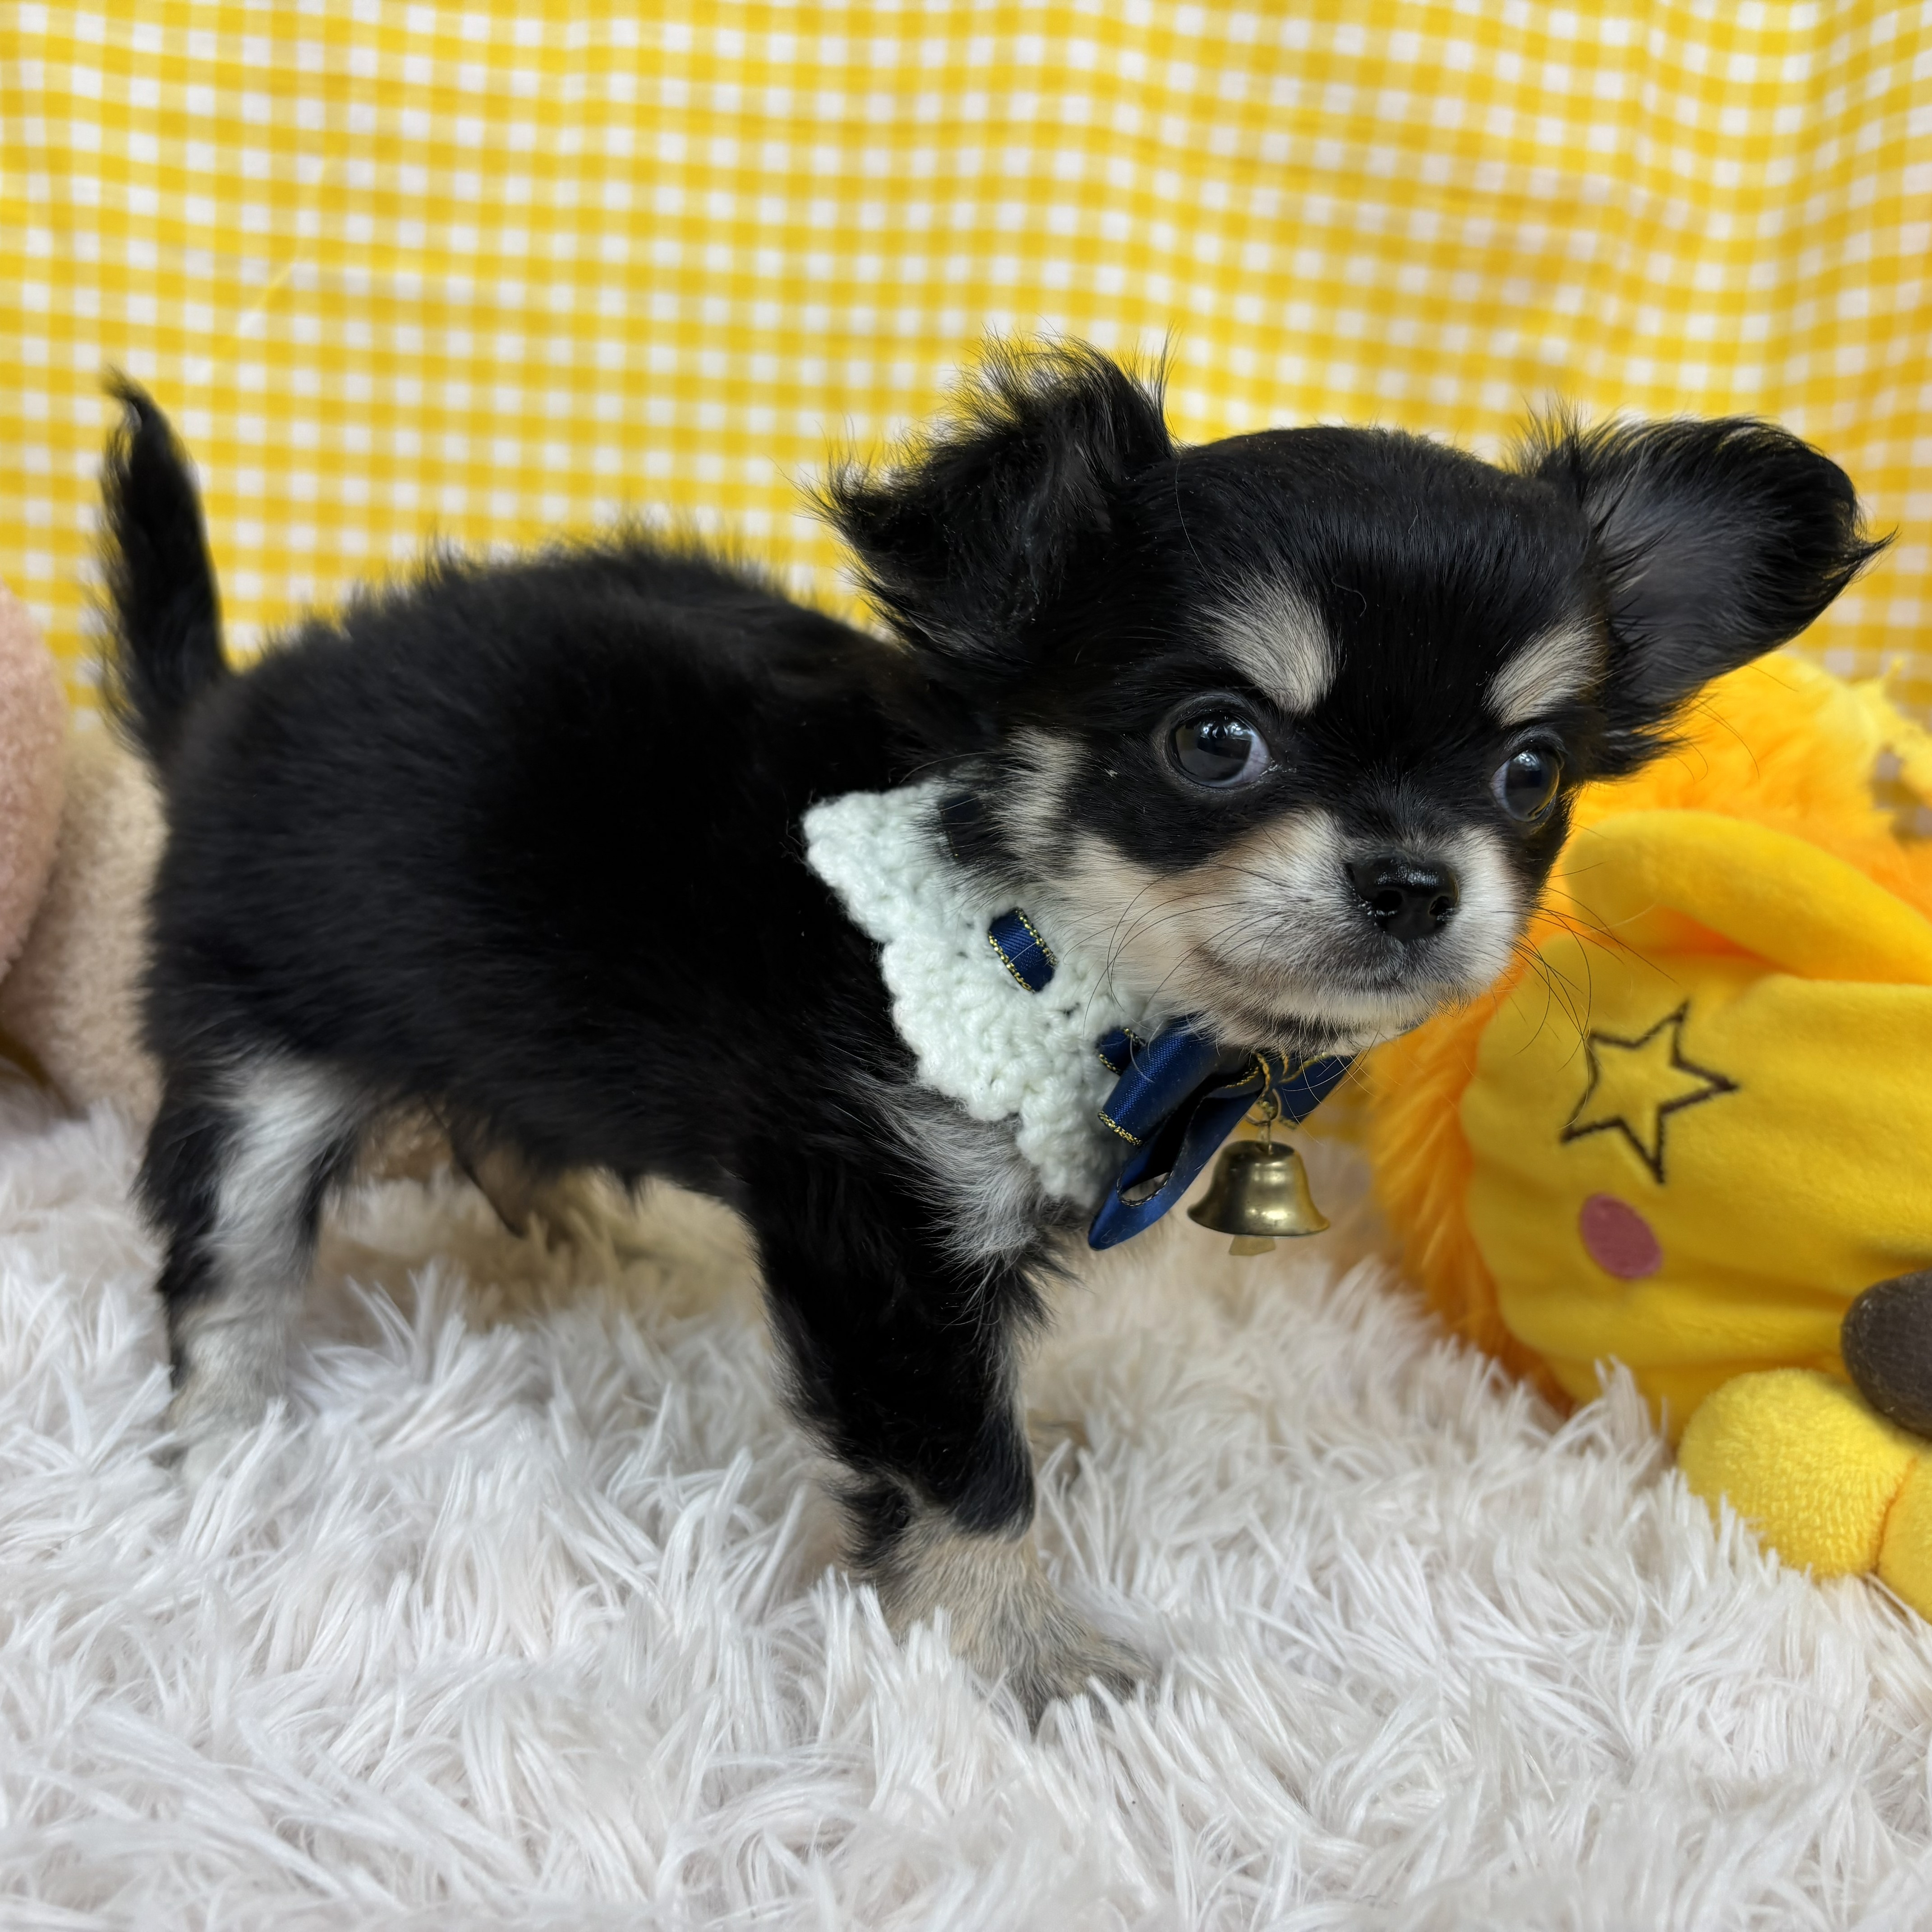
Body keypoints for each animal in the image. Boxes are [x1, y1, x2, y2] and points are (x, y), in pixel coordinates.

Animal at [100, 343, 1880, 1720]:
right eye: (1214, 740)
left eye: (1530, 771)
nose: (1409, 880)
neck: (1067, 959)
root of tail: (222, 708)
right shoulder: (879, 1224)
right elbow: (960, 1463)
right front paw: (1030, 1652)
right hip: (253, 1055)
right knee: (229, 1269)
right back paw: (224, 1450)